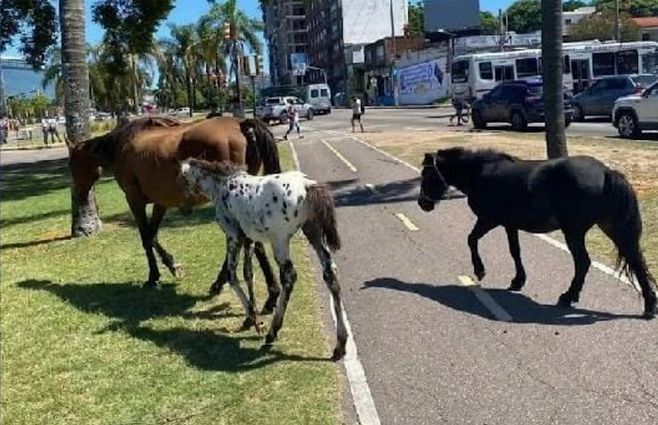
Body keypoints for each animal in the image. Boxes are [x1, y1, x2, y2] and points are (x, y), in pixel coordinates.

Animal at [67, 116, 283, 313]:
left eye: (73, 166)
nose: (79, 196)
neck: (122, 143)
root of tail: (240, 123)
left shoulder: (134, 200)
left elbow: (146, 238)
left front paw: (153, 277)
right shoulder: (160, 203)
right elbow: (152, 236)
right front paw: (172, 265)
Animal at [179, 158, 347, 361]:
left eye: (182, 179)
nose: (183, 209)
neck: (222, 185)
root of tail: (308, 185)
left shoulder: (233, 235)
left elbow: (232, 274)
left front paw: (254, 318)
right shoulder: (249, 239)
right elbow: (248, 273)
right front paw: (251, 319)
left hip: (279, 240)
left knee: (289, 276)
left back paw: (272, 332)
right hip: (312, 231)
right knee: (330, 272)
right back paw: (340, 345)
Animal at [417, 147, 657, 318]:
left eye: (427, 175)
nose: (422, 204)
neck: (480, 173)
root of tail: (607, 172)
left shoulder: (489, 220)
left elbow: (471, 239)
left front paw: (480, 270)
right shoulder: (509, 225)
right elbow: (515, 251)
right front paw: (518, 281)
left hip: (574, 231)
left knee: (583, 262)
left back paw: (568, 296)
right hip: (612, 227)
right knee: (636, 260)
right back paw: (649, 306)